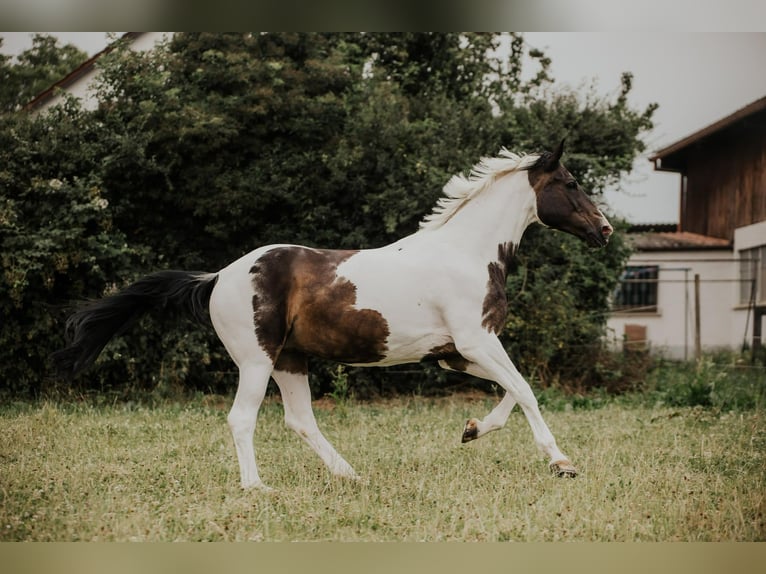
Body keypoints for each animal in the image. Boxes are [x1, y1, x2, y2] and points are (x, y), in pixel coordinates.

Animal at [52, 140, 613, 490]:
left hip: (290, 360)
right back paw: (257, 487)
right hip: (257, 360)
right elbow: (525, 390)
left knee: (301, 421)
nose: (605, 230)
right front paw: (561, 463)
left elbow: (511, 391)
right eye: (569, 182)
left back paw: (350, 475)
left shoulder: (455, 352)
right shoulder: (475, 342)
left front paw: (472, 430)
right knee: (242, 418)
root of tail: (217, 277)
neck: (466, 252)